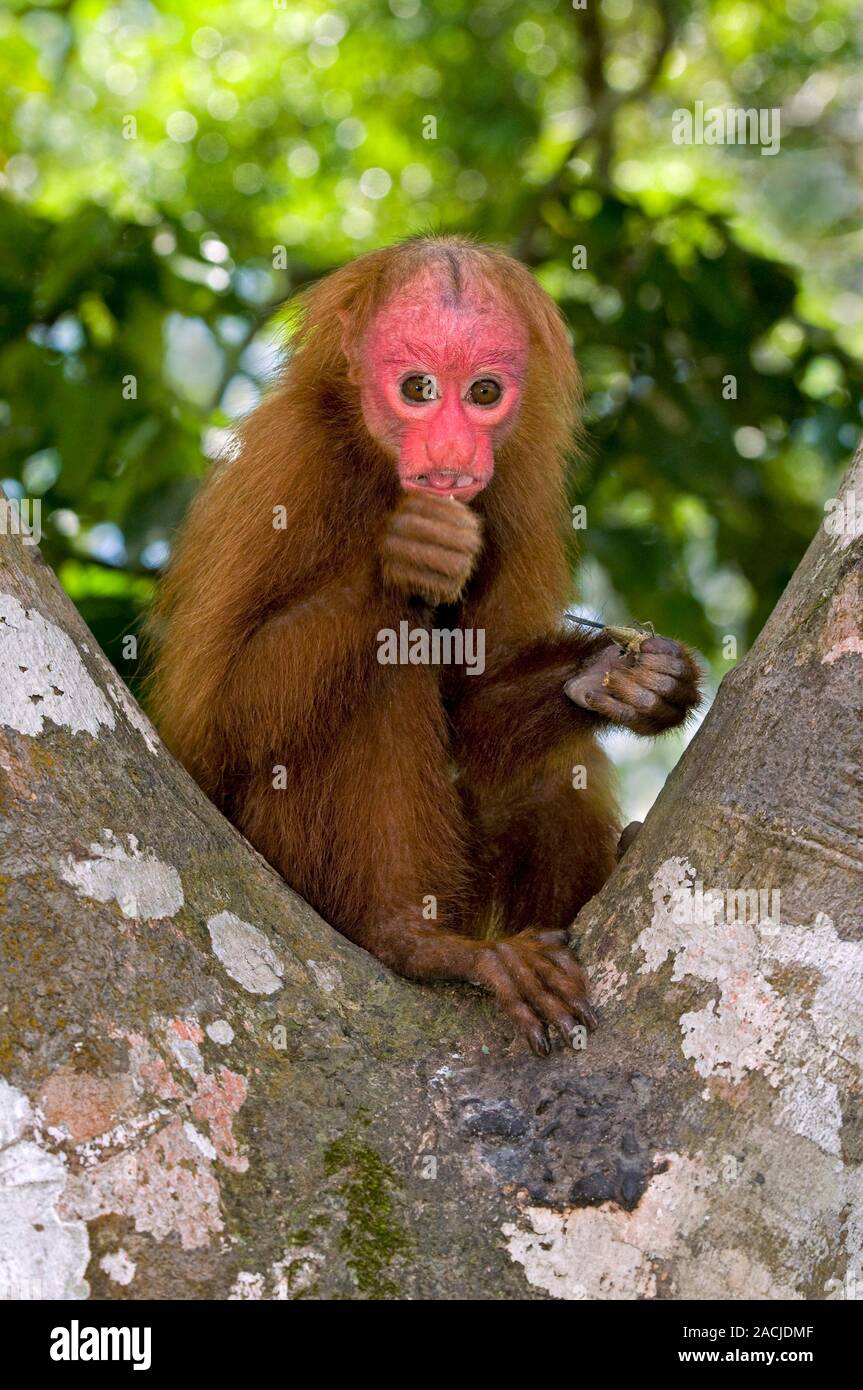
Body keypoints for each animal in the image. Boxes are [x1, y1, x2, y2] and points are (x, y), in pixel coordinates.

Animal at [149, 236, 700, 1056]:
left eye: (482, 393)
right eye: (417, 388)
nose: (450, 448)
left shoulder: (518, 496)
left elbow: (473, 714)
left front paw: (621, 679)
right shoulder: (283, 467)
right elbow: (208, 726)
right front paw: (404, 559)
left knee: (549, 768)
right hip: (294, 869)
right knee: (382, 669)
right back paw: (416, 941)